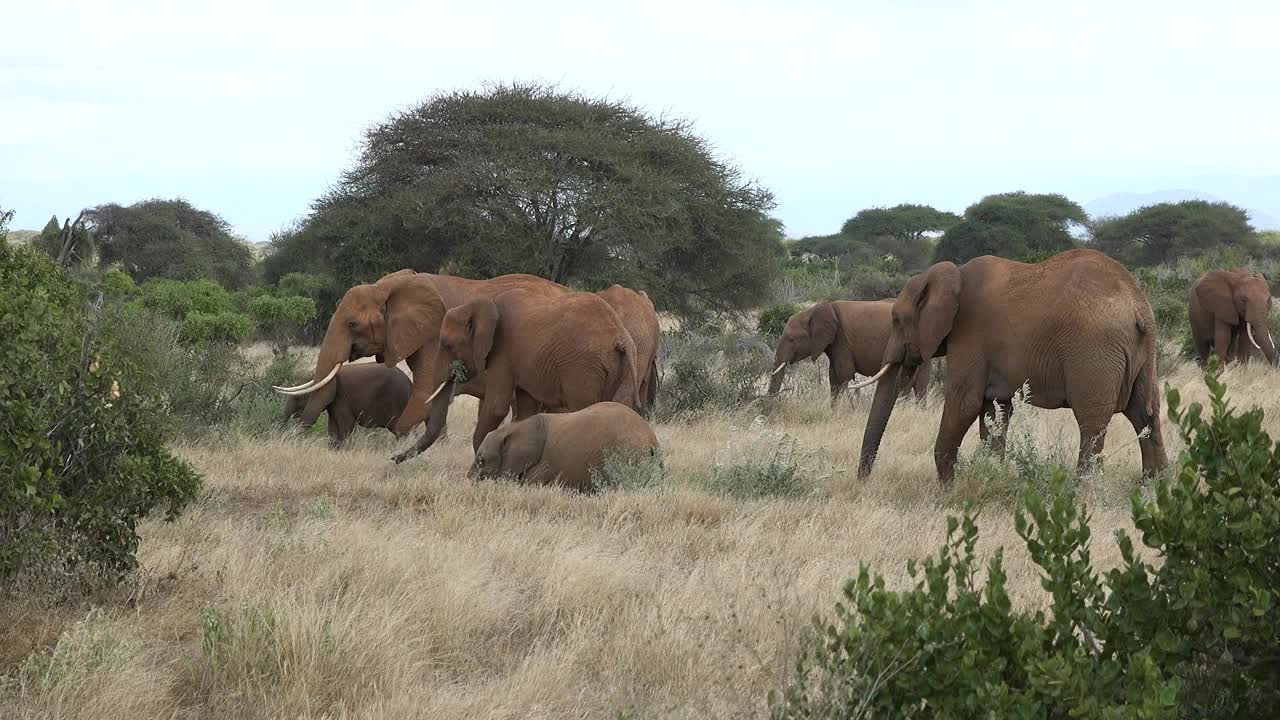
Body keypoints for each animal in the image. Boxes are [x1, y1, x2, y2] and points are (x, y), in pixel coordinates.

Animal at [282, 361, 412, 445]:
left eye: (301, 397)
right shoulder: (336, 401)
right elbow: (333, 429)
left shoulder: (342, 399)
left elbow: (345, 426)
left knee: (401, 432)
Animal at [391, 285, 640, 458]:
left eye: (448, 345)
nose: (393, 459)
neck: (484, 305)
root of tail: (620, 336)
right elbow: (525, 409)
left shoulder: (503, 352)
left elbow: (496, 407)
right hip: (621, 366)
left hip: (583, 367)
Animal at [768, 297, 931, 404]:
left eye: (791, 339)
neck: (813, 311)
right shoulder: (834, 343)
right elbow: (833, 377)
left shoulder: (841, 339)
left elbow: (844, 374)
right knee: (921, 385)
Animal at [855, 249, 1167, 484]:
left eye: (896, 320)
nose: (863, 481)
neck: (952, 275)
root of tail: (1138, 306)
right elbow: (995, 410)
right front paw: (992, 474)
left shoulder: (971, 335)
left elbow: (964, 403)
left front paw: (948, 491)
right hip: (1142, 352)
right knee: (1145, 413)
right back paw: (1154, 485)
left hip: (1094, 352)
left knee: (1092, 421)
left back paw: (1083, 490)